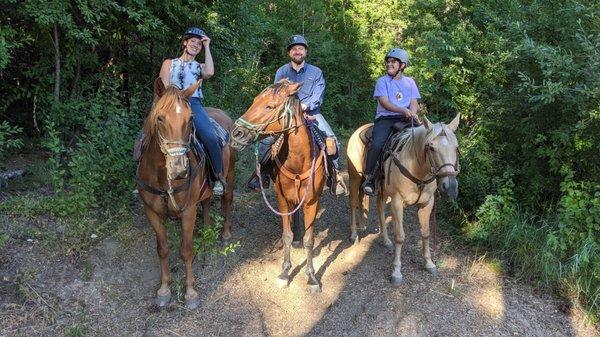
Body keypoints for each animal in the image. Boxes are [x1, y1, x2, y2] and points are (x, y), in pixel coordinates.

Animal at [137, 78, 236, 308]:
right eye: (160, 118)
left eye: (190, 119)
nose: (179, 169)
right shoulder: (151, 212)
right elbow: (163, 249)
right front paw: (164, 289)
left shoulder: (188, 212)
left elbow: (186, 250)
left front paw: (190, 291)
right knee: (207, 203)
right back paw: (206, 231)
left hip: (230, 175)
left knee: (227, 199)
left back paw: (225, 234)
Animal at [230, 79, 326, 292]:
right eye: (254, 100)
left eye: (270, 106)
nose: (236, 134)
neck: (299, 161)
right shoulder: (282, 199)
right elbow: (286, 235)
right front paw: (284, 272)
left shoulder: (312, 202)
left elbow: (309, 240)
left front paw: (311, 277)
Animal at [346, 114, 460, 284]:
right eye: (431, 148)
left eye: (456, 148)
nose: (450, 187)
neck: (417, 169)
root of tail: (359, 129)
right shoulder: (397, 202)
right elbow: (400, 237)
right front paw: (396, 272)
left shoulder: (427, 203)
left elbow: (425, 233)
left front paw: (429, 263)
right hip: (355, 177)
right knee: (354, 203)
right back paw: (354, 234)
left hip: (383, 190)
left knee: (379, 207)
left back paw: (384, 239)